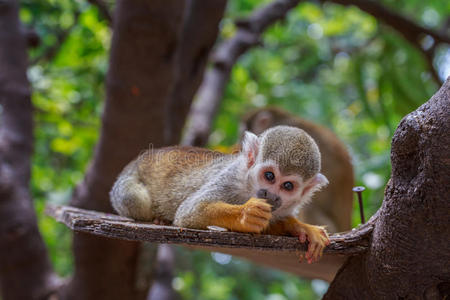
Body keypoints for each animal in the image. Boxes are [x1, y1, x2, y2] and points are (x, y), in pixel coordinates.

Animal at [110, 126, 330, 262]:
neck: (248, 185)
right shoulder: (231, 178)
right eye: (269, 176)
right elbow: (190, 211)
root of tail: (137, 161)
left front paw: (298, 227)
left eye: (288, 186)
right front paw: (245, 215)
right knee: (137, 200)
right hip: (125, 185)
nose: (270, 195)